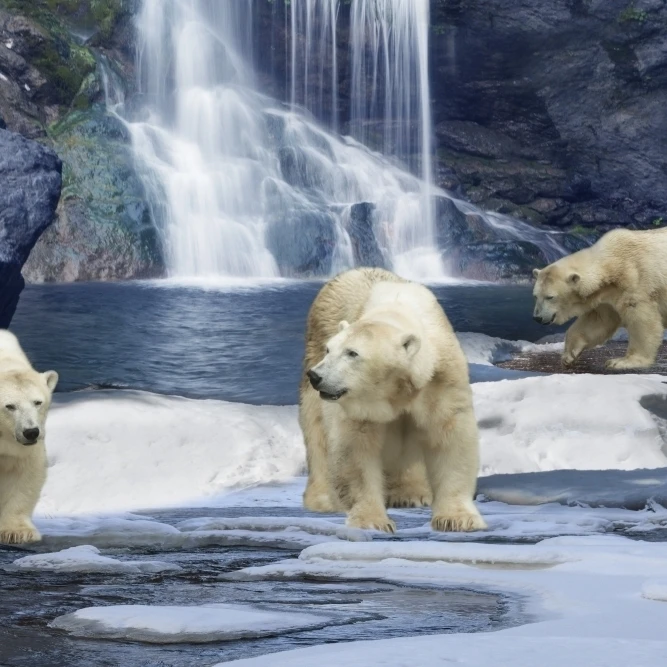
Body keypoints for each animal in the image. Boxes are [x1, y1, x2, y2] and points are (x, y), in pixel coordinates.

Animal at [0, 331, 58, 544]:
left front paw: (17, 531)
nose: (31, 432)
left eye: (37, 402)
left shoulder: (22, 449)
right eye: (9, 406)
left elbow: (26, 473)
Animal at [299, 267, 486, 533]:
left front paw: (457, 519)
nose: (317, 376)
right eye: (329, 349)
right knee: (316, 427)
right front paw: (372, 520)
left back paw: (411, 493)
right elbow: (356, 448)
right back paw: (323, 498)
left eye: (352, 353)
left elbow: (449, 437)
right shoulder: (357, 402)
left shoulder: (440, 379)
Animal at [533, 227, 667, 370]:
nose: (537, 317)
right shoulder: (605, 297)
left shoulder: (635, 282)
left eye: (550, 297)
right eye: (535, 295)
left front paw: (622, 361)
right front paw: (568, 356)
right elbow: (598, 321)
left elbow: (642, 319)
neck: (613, 262)